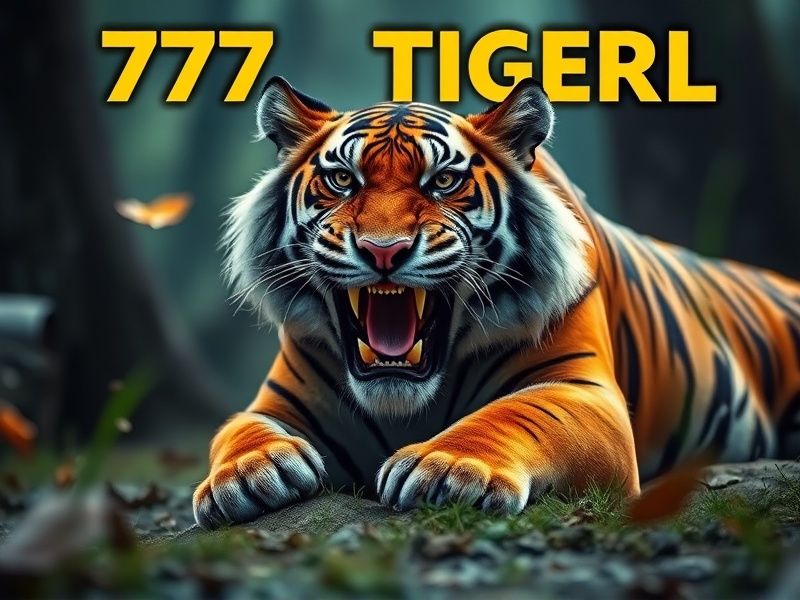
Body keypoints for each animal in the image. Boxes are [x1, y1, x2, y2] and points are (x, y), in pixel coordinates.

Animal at [192, 76, 800, 528]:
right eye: (342, 179)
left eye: (443, 181)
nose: (382, 249)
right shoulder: (277, 402)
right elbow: (237, 428)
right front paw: (249, 473)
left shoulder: (582, 391)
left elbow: (515, 412)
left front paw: (447, 467)